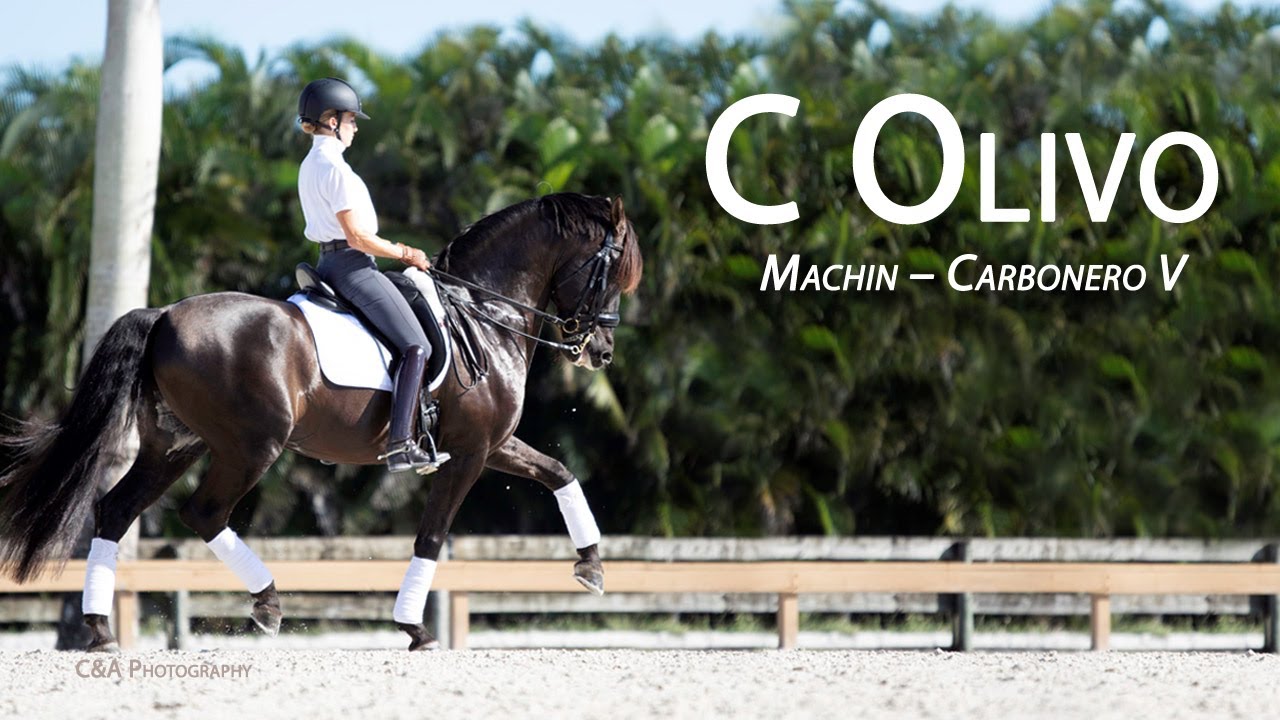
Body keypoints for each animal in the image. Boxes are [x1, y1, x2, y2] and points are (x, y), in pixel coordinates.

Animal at [0, 192, 643, 652]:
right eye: (611, 271)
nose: (602, 352)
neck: (484, 312)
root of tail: (163, 314)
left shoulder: (494, 443)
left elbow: (559, 472)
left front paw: (591, 567)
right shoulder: (470, 453)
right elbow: (432, 535)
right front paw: (414, 629)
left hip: (175, 446)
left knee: (115, 511)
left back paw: (100, 631)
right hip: (251, 446)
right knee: (203, 513)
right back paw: (266, 604)